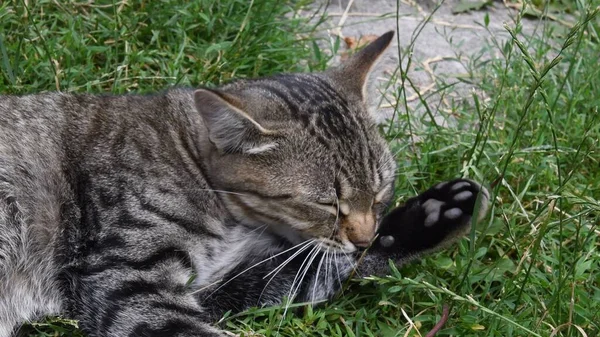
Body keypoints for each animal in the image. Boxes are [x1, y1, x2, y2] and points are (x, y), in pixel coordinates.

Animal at [0, 30, 488, 334]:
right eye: (327, 203)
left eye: (382, 190)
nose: (364, 236)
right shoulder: (121, 275)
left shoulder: (219, 285)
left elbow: (312, 271)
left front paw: (427, 218)